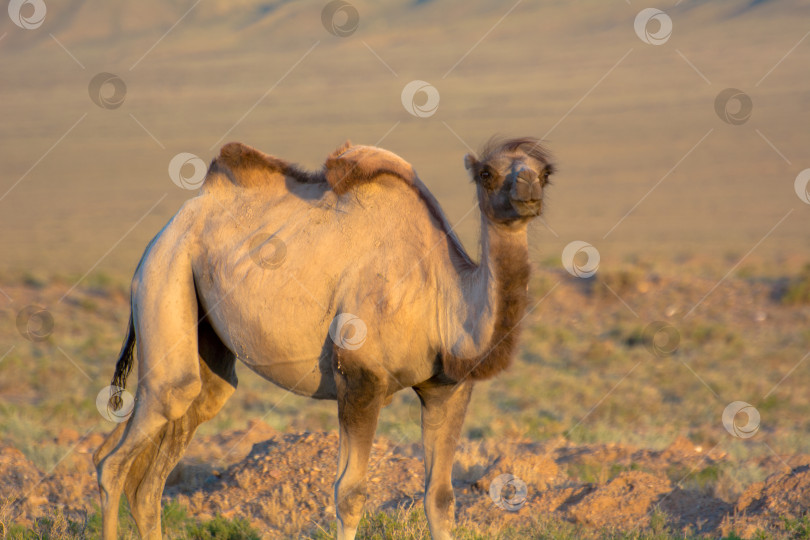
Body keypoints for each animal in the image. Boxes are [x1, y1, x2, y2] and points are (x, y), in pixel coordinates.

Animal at [93, 136, 548, 540]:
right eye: (487, 174)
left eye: (545, 171)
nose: (528, 191)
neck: (440, 292)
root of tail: (174, 224)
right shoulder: (360, 381)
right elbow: (350, 494)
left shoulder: (447, 388)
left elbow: (440, 498)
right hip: (164, 272)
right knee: (119, 454)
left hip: (199, 331)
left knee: (159, 460)